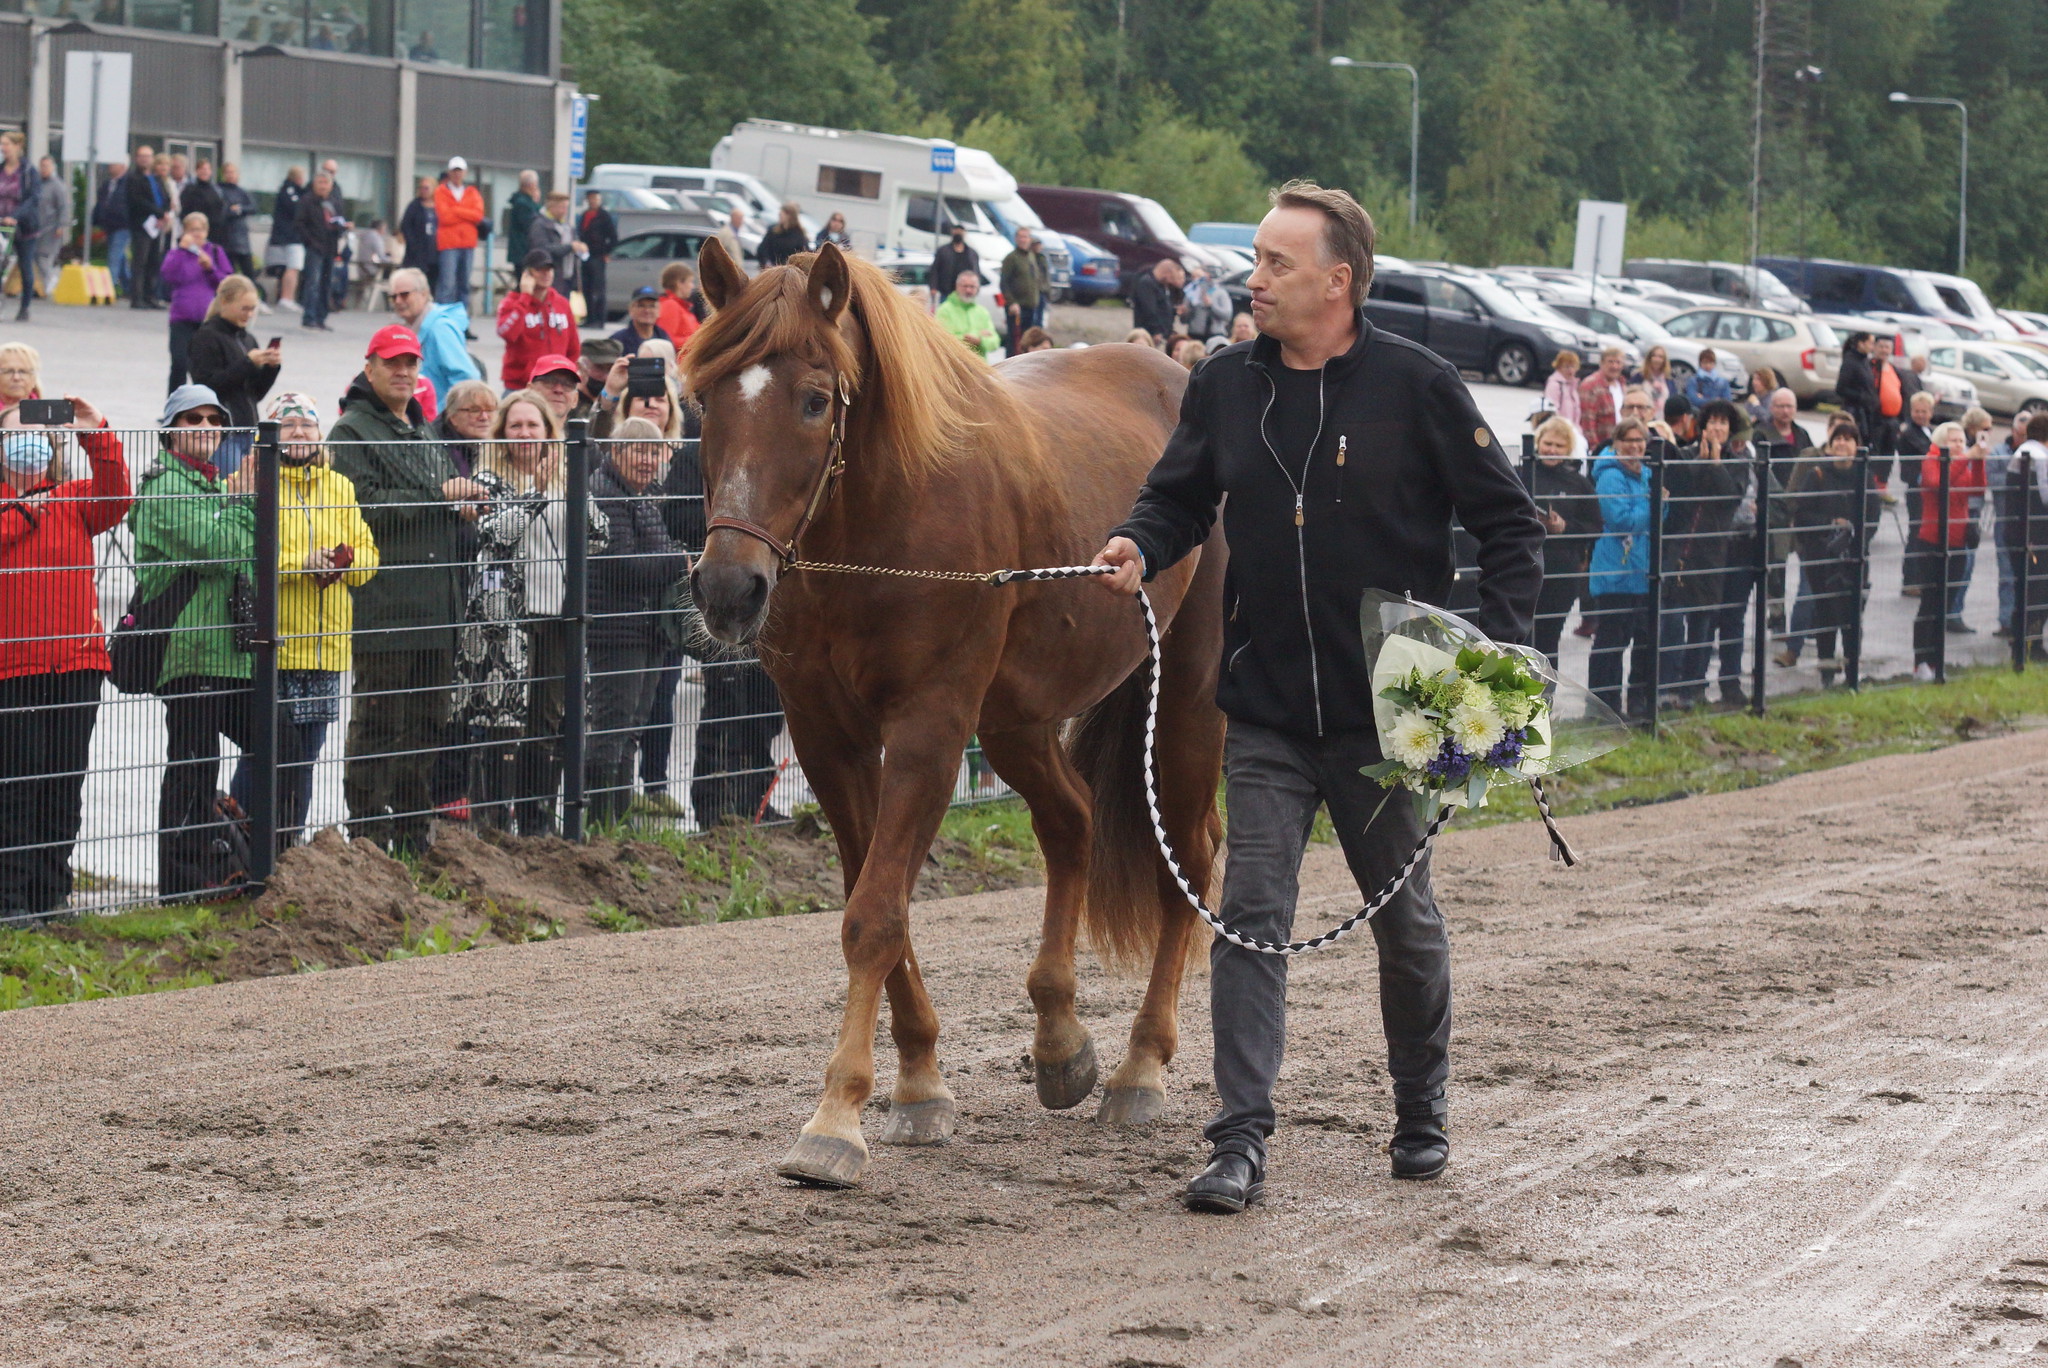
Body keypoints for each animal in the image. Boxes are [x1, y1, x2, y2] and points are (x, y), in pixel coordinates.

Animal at [688, 240, 1228, 1187]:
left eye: (814, 398)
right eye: (708, 397)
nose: (728, 587)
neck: (878, 525)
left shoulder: (930, 733)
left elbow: (874, 916)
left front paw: (836, 1118)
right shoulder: (827, 739)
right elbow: (880, 904)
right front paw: (918, 1082)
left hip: (1186, 698)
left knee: (1190, 858)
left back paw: (1141, 1064)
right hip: (1016, 720)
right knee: (1073, 821)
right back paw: (1060, 1040)